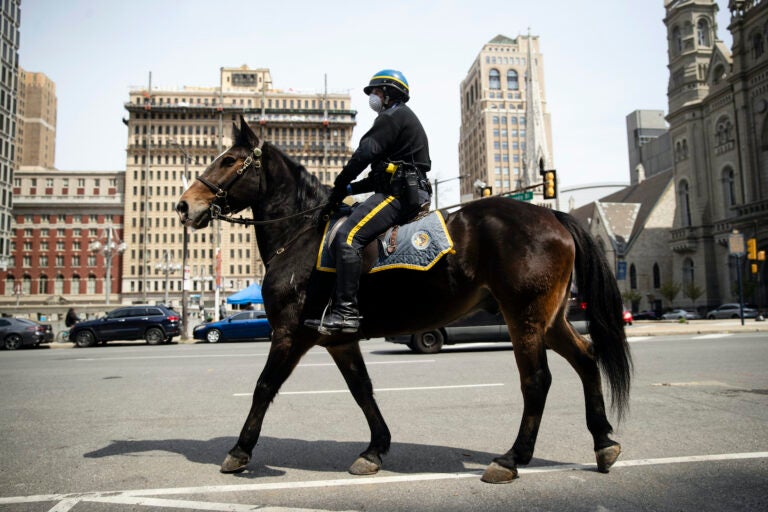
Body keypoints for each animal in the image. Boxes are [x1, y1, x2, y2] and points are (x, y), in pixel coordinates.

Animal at [177, 116, 632, 484]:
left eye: (230, 160)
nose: (184, 205)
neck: (301, 234)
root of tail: (551, 214)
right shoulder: (339, 340)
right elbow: (362, 390)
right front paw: (375, 449)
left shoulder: (290, 334)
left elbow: (264, 386)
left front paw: (239, 451)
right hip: (550, 319)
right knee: (587, 359)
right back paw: (604, 443)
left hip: (524, 318)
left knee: (537, 380)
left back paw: (511, 459)